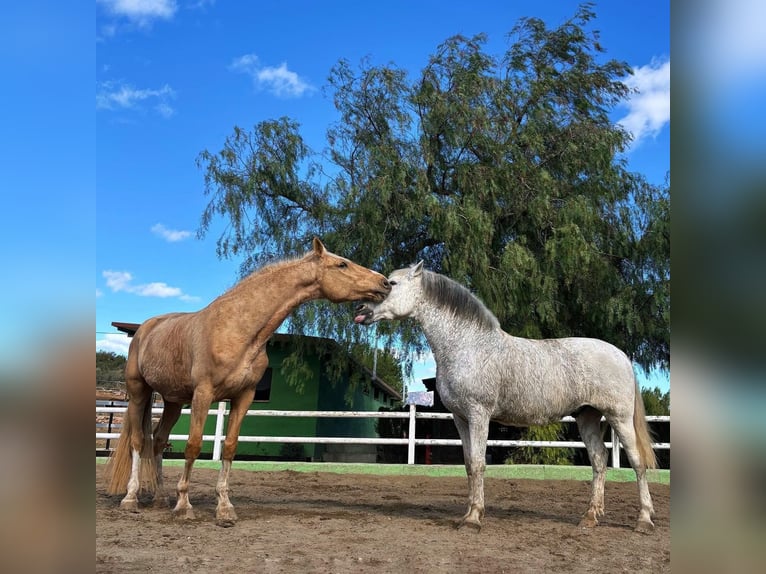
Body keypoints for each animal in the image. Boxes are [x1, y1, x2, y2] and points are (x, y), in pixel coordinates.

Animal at [107, 237, 390, 528]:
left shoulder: (244, 396)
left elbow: (230, 447)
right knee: (138, 441)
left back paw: (160, 499)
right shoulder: (203, 394)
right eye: (342, 264)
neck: (237, 328)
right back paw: (131, 498)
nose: (385, 283)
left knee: (159, 440)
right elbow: (193, 445)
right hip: (139, 391)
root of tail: (146, 329)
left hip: (173, 401)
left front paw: (224, 507)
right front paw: (184, 505)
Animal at [356, 264, 656, 536]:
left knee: (637, 462)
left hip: (619, 418)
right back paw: (590, 517)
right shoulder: (461, 419)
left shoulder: (479, 415)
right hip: (587, 417)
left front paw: (473, 519)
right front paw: (469, 513)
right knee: (599, 460)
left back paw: (644, 520)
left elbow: (479, 463)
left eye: (392, 283)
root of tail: (621, 355)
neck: (468, 345)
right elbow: (469, 465)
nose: (361, 311)